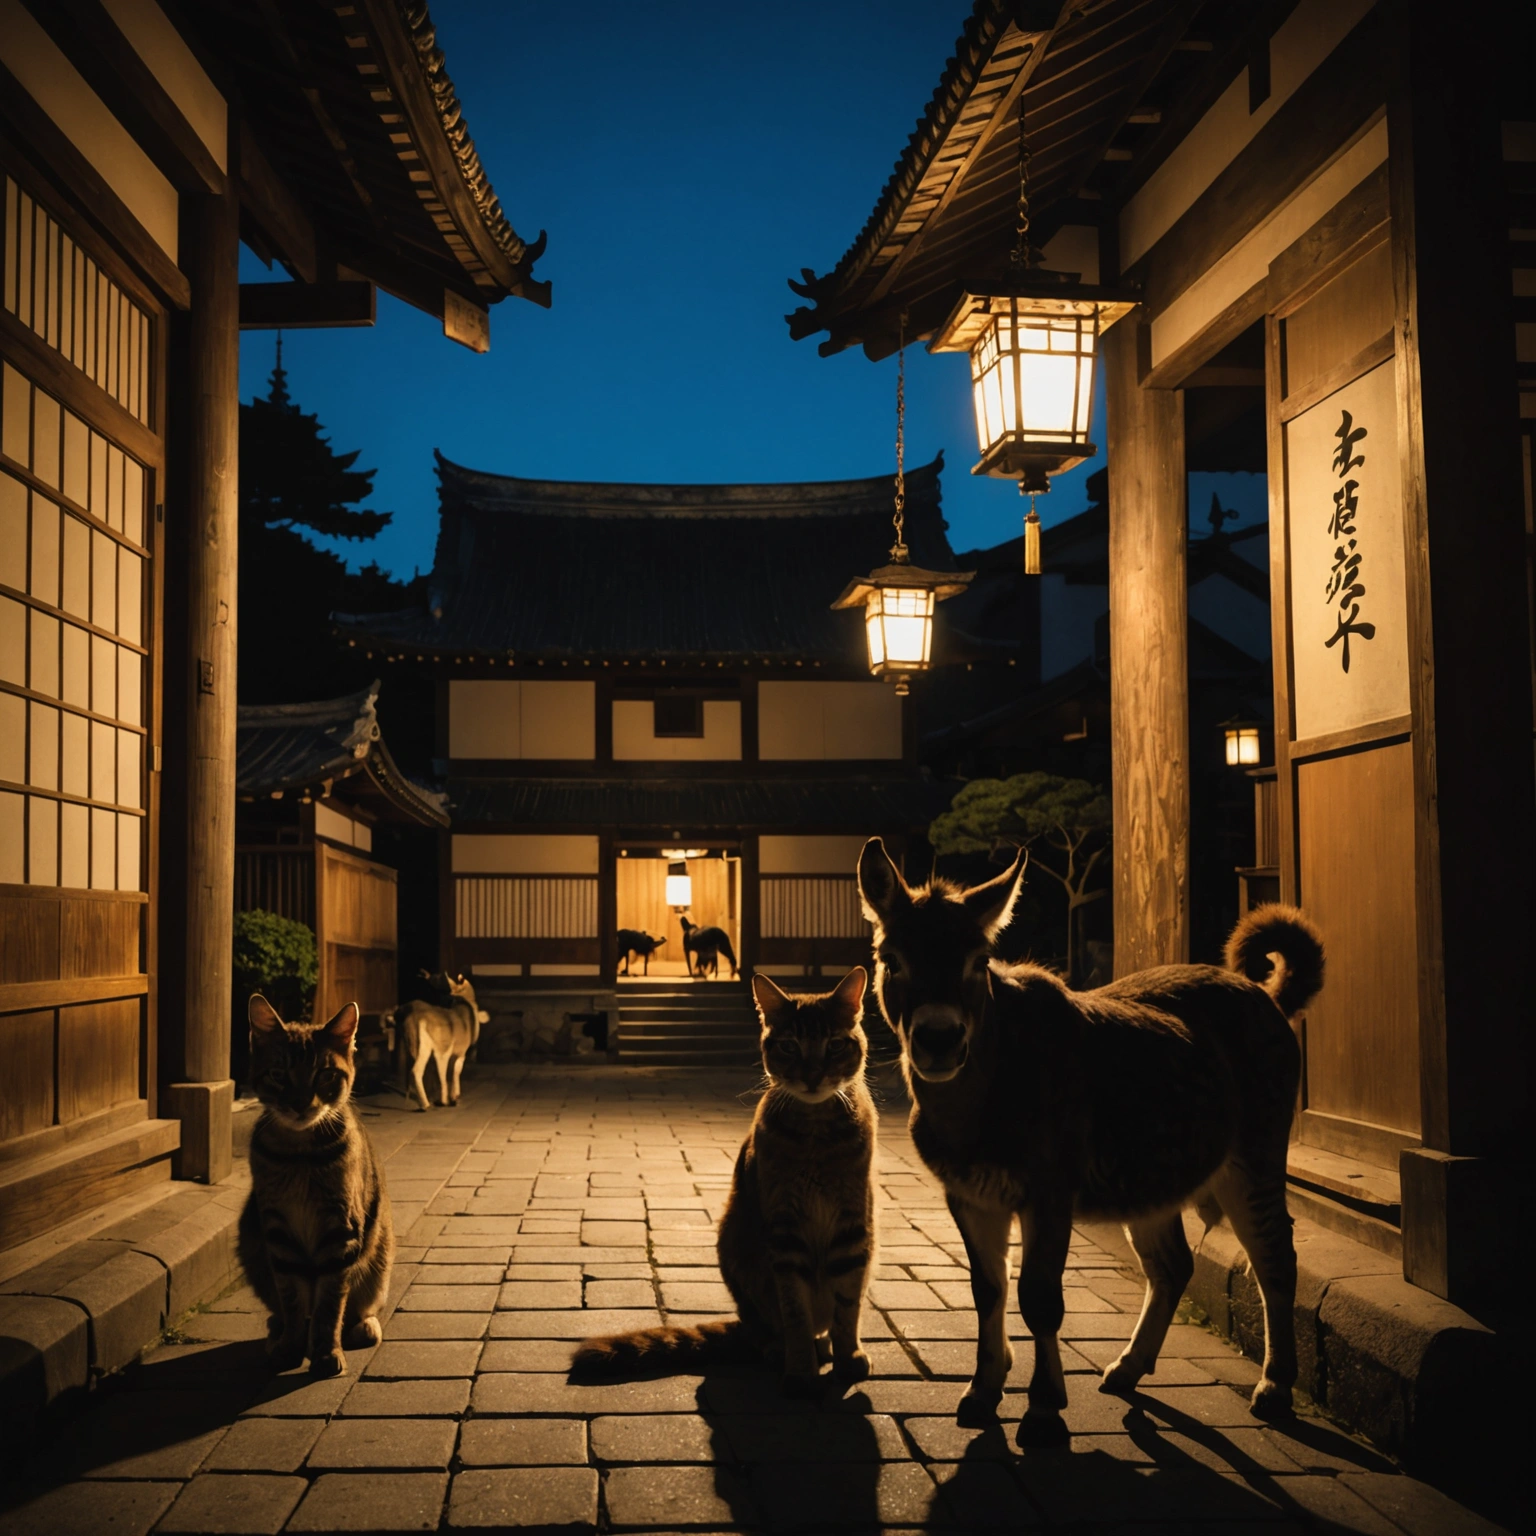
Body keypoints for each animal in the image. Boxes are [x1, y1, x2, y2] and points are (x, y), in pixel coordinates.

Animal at [239, 995, 396, 1382]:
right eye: (278, 1074)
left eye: (324, 1074)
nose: (299, 1104)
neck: (300, 1157)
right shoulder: (278, 1231)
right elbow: (293, 1301)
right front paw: (291, 1348)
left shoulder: (340, 1230)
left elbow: (329, 1305)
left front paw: (325, 1352)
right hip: (250, 1239)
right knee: (281, 1310)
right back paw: (276, 1331)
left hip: (379, 1256)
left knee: (358, 1307)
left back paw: (362, 1328)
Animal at [387, 970, 482, 1105]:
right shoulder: (460, 1052)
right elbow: (455, 1072)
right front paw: (455, 1095)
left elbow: (449, 1073)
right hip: (437, 1050)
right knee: (424, 1072)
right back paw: (431, 1103)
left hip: (412, 1046)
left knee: (413, 1071)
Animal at [574, 970, 878, 1394]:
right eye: (789, 1045)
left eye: (834, 1045)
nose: (813, 1076)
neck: (816, 1135)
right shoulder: (785, 1231)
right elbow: (795, 1313)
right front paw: (800, 1371)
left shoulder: (852, 1225)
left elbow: (847, 1307)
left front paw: (849, 1356)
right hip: (736, 1247)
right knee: (770, 1330)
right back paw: (783, 1351)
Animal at [860, 835, 1327, 1443]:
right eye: (891, 959)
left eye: (978, 960)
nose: (939, 1039)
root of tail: (1265, 996)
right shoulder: (968, 1193)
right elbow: (987, 1289)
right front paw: (981, 1392)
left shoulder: (1050, 1187)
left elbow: (1039, 1297)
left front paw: (1043, 1409)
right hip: (1152, 1176)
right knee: (1172, 1264)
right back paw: (1129, 1366)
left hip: (1257, 1148)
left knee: (1274, 1256)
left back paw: (1274, 1385)